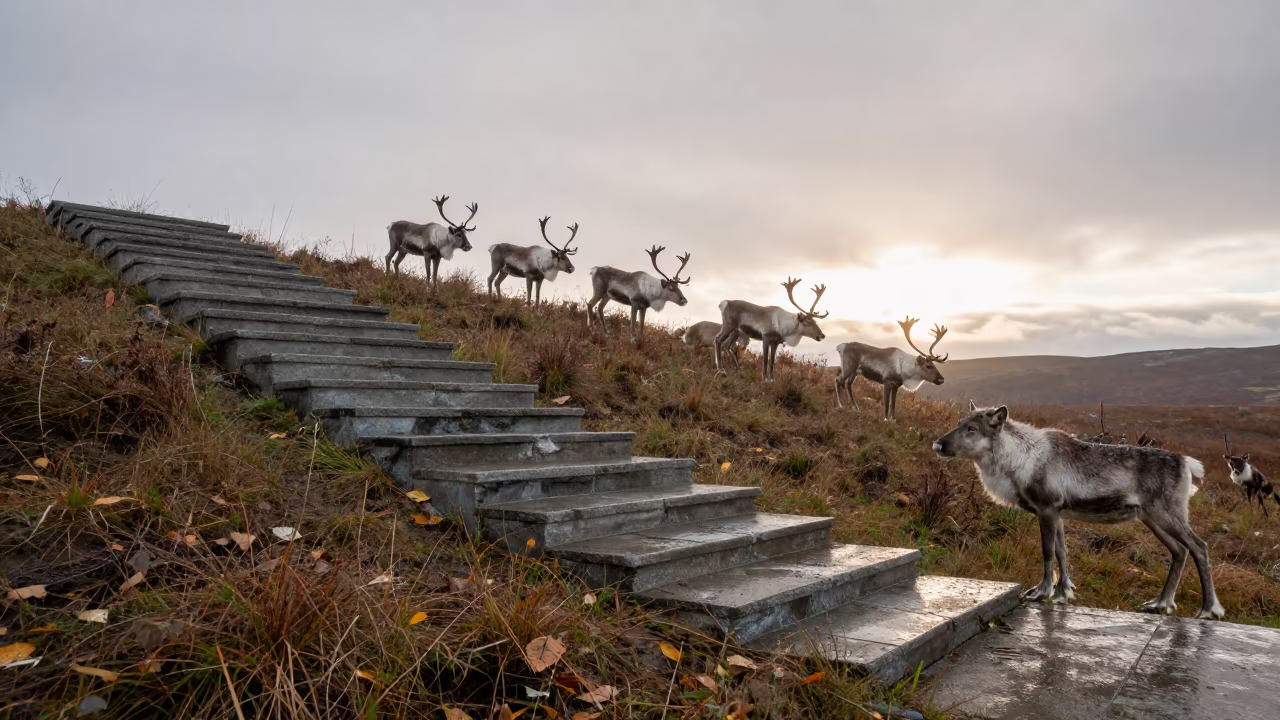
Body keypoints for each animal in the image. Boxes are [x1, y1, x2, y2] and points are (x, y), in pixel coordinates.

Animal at [933, 403, 1223, 619]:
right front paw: (1063, 593)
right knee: (1180, 551)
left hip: (1165, 513)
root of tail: (1186, 463)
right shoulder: (1058, 512)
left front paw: (1042, 592)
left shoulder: (1047, 508)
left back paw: (1208, 609)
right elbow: (1062, 552)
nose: (938, 445)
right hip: (1151, 518)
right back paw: (1161, 603)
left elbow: (1047, 552)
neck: (1018, 461)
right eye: (959, 422)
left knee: (1199, 547)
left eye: (972, 428)